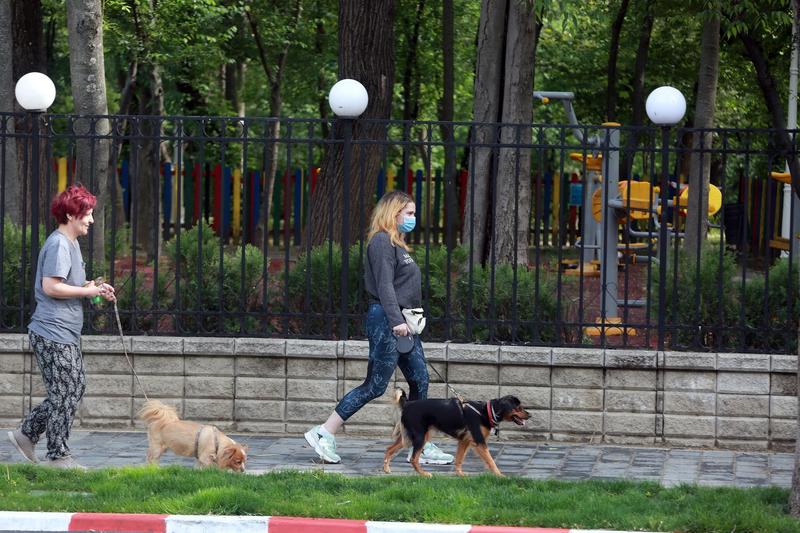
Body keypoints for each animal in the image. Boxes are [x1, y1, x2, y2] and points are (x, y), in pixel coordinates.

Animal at [382, 386, 528, 478]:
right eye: (518, 408)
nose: (530, 415)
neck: (486, 411)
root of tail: (407, 404)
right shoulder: (479, 442)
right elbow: (491, 461)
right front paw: (500, 475)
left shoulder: (464, 441)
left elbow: (459, 459)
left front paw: (460, 474)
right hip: (419, 436)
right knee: (413, 458)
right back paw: (424, 474)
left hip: (408, 437)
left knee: (389, 449)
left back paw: (386, 469)